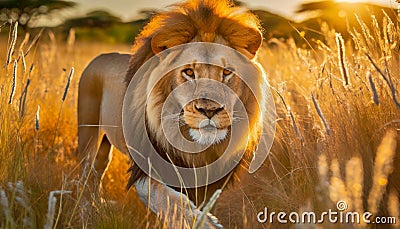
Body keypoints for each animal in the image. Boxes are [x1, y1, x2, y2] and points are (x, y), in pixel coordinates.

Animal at [77, 0, 268, 227]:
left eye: (227, 72)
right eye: (189, 72)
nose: (209, 110)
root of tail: (101, 55)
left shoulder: (210, 181)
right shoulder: (145, 170)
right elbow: (172, 203)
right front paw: (205, 223)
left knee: (99, 166)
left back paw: (98, 204)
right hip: (87, 130)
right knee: (85, 171)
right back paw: (85, 209)